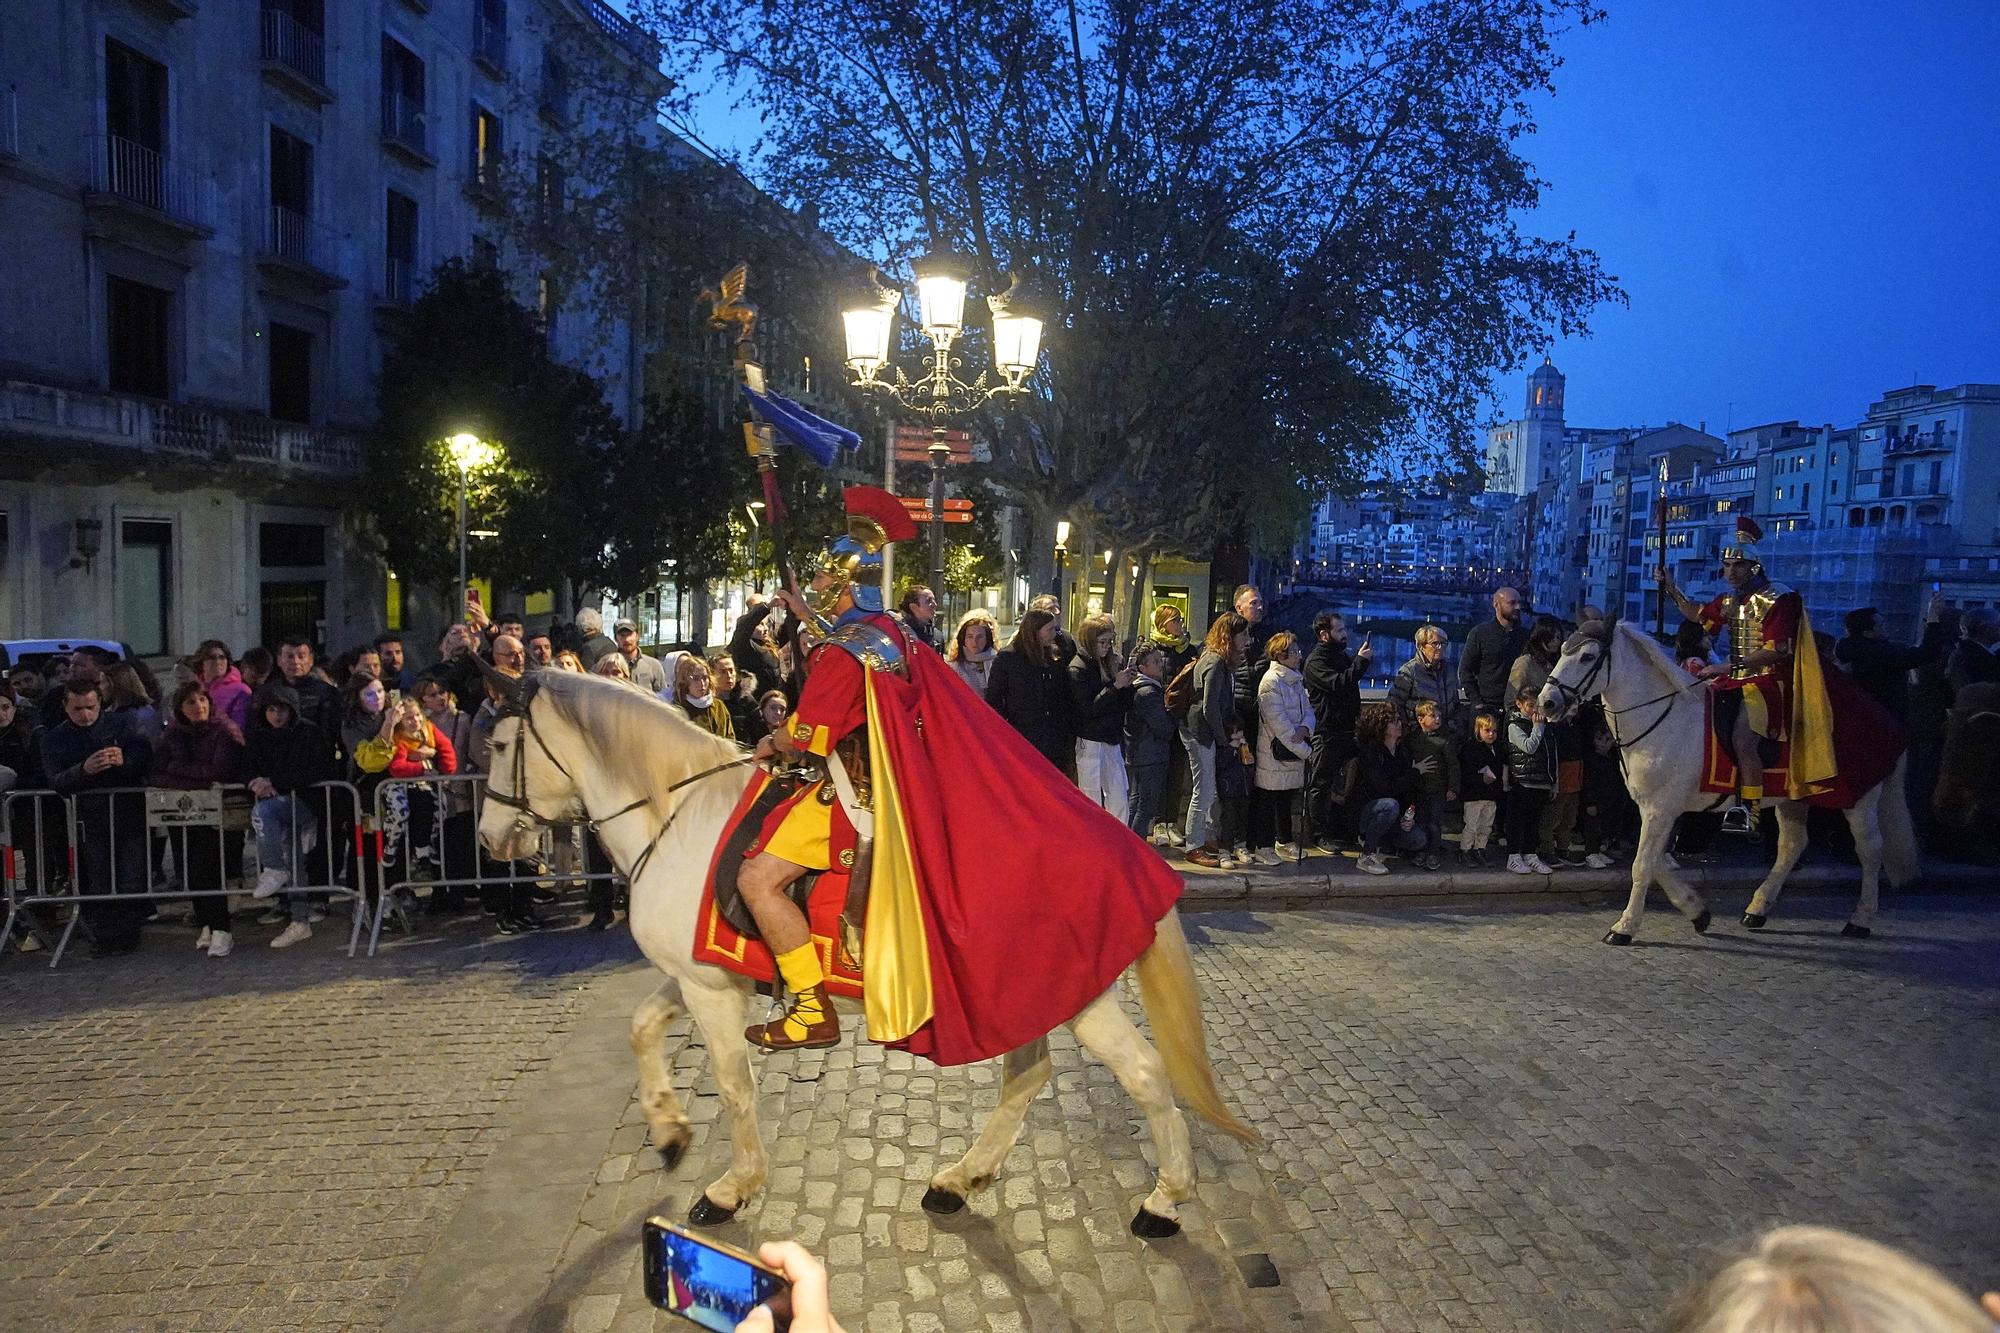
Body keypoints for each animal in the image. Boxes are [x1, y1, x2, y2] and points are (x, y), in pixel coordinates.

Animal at [472, 676, 1248, 1232]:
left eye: (502, 743)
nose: (487, 838)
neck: (675, 813)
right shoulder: (702, 976)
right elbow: (640, 1029)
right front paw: (667, 1129)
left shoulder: (711, 991)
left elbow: (733, 1085)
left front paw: (731, 1188)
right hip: (1027, 998)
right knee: (1028, 1075)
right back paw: (960, 1179)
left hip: (1080, 998)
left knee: (1144, 1074)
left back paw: (1164, 1201)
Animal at [1528, 624, 1920, 944]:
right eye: (1562, 650)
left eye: (1588, 656)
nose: (1547, 702)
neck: (1664, 720)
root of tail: (1885, 716)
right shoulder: (1656, 809)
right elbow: (1655, 862)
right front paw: (1697, 911)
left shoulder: (1660, 808)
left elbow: (1643, 865)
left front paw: (1624, 927)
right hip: (1793, 798)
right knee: (1792, 846)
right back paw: (1758, 908)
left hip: (1860, 799)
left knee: (1870, 851)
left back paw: (1860, 919)